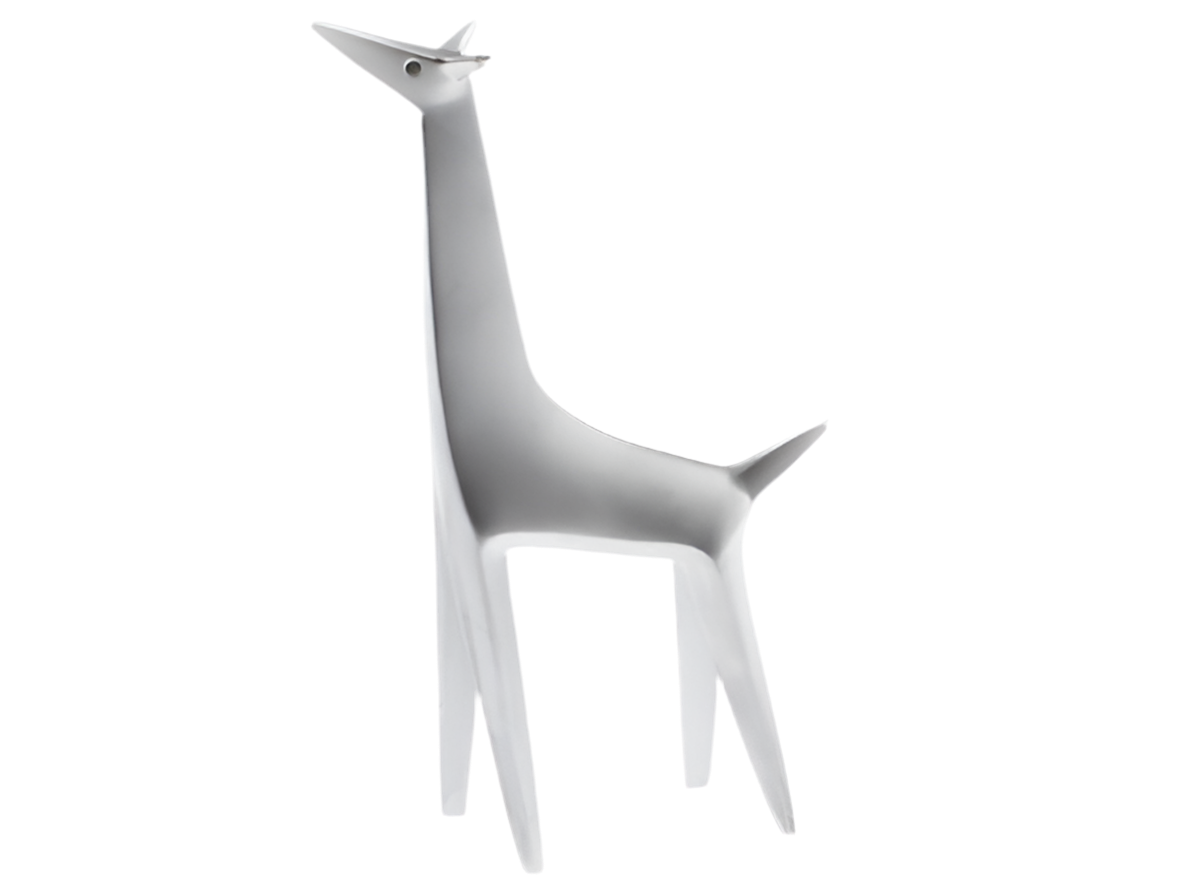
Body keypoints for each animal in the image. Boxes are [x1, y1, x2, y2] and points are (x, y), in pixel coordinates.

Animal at [310, 20, 830, 875]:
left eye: (413, 65)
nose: (332, 35)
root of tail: (738, 483)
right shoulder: (451, 556)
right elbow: (458, 702)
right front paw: (451, 816)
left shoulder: (486, 547)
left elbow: (509, 723)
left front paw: (531, 861)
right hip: (689, 566)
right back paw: (695, 788)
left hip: (719, 565)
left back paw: (787, 824)